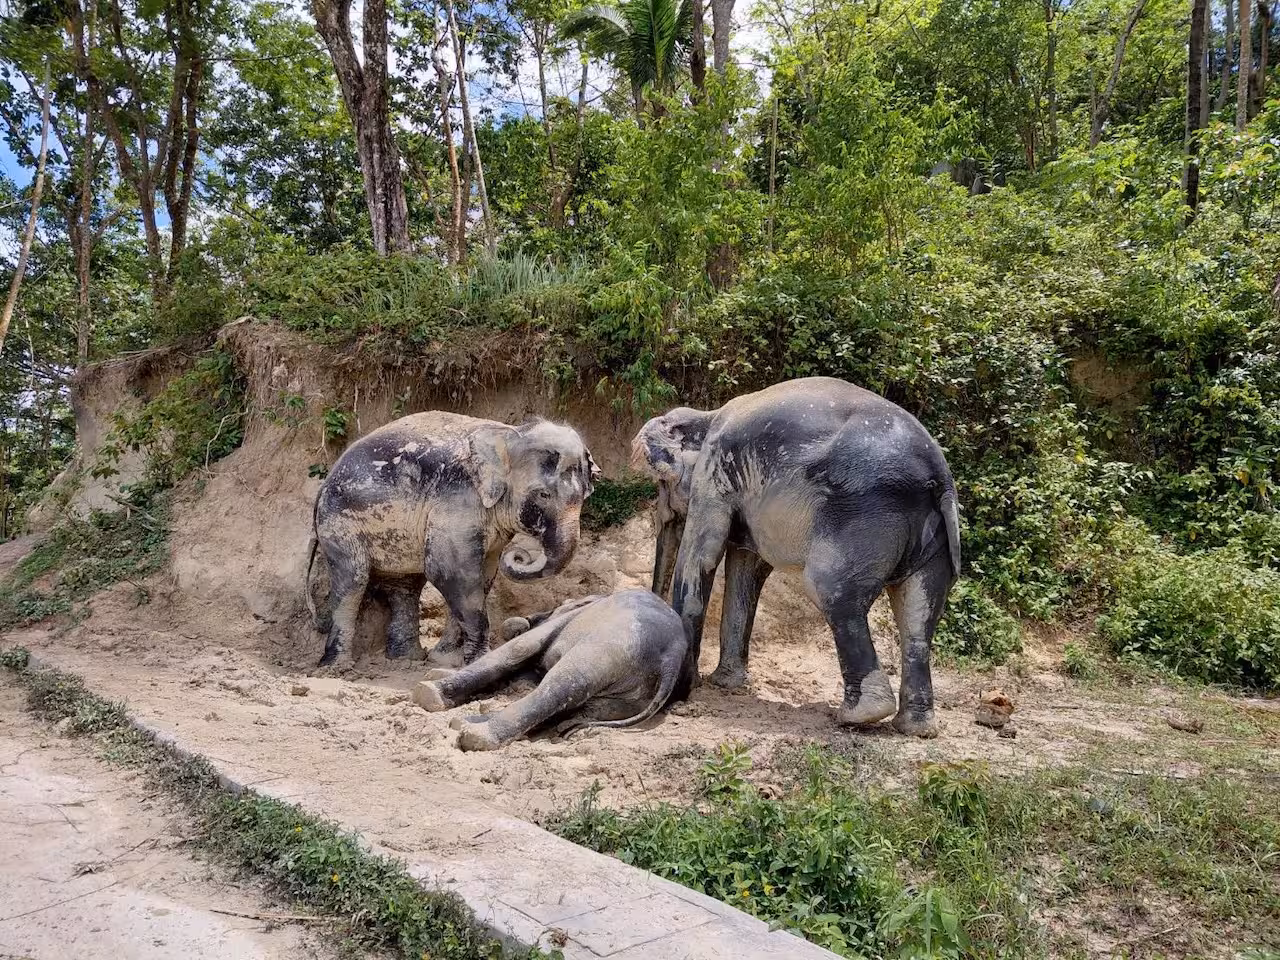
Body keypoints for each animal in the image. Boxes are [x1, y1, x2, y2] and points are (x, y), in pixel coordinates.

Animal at [305, 412, 597, 668]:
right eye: (543, 495)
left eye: (586, 495)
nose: (520, 555)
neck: (508, 434)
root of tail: (322, 486)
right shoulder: (457, 500)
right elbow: (451, 572)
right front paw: (477, 660)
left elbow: (482, 577)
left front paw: (446, 660)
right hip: (338, 522)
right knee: (353, 580)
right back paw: (338, 668)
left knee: (405, 586)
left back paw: (406, 660)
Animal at [411, 588, 687, 751]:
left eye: (561, 604)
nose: (526, 619)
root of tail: (672, 659)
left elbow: (519, 648)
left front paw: (429, 686)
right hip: (630, 695)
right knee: (573, 708)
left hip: (610, 646)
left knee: (562, 686)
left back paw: (473, 734)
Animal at [630, 376, 960, 738]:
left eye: (662, 483)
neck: (707, 415)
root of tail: (939, 477)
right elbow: (747, 570)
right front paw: (725, 684)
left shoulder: (714, 472)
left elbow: (702, 557)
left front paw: (686, 692)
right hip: (935, 539)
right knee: (917, 616)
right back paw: (915, 728)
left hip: (863, 515)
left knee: (830, 589)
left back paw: (858, 717)